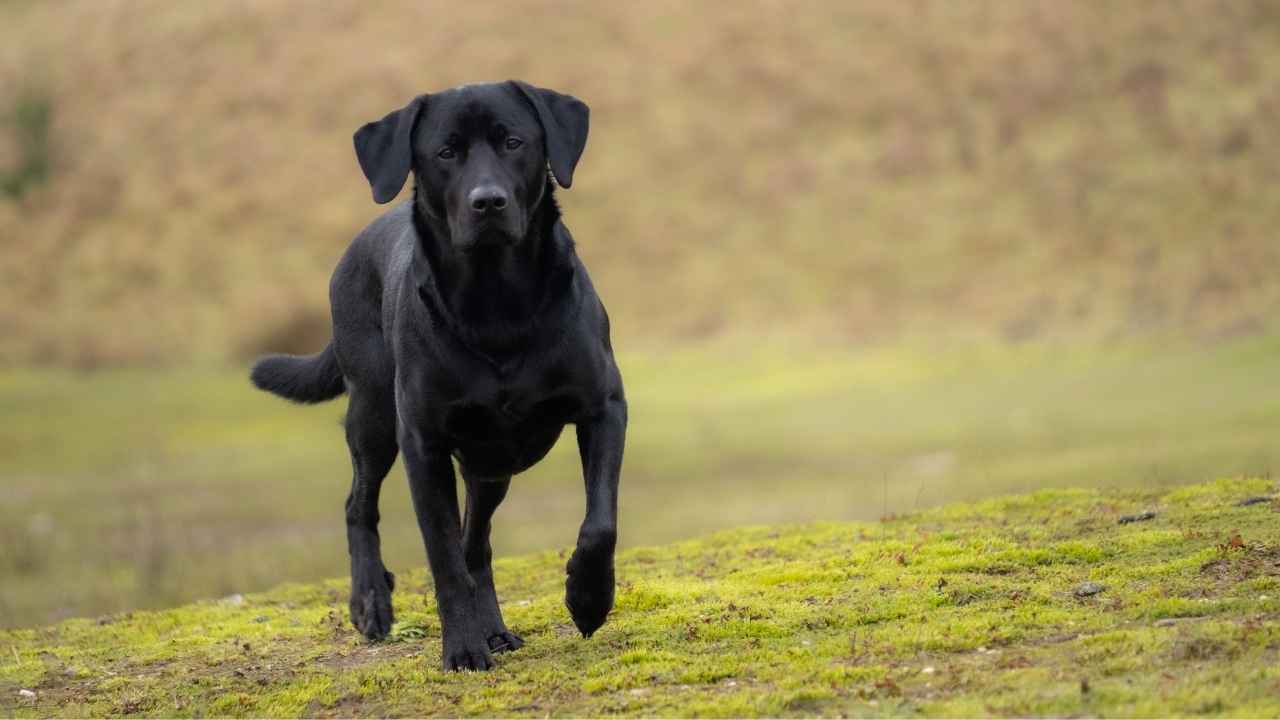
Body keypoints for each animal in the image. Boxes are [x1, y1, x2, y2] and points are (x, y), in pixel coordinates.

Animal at [248, 81, 624, 671]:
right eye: (446, 153)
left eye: (514, 142)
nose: (487, 201)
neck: (497, 303)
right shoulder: (423, 444)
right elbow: (443, 556)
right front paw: (463, 648)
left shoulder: (603, 406)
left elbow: (599, 524)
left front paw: (587, 600)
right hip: (374, 417)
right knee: (360, 506)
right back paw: (371, 602)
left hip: (490, 466)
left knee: (478, 544)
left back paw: (495, 628)